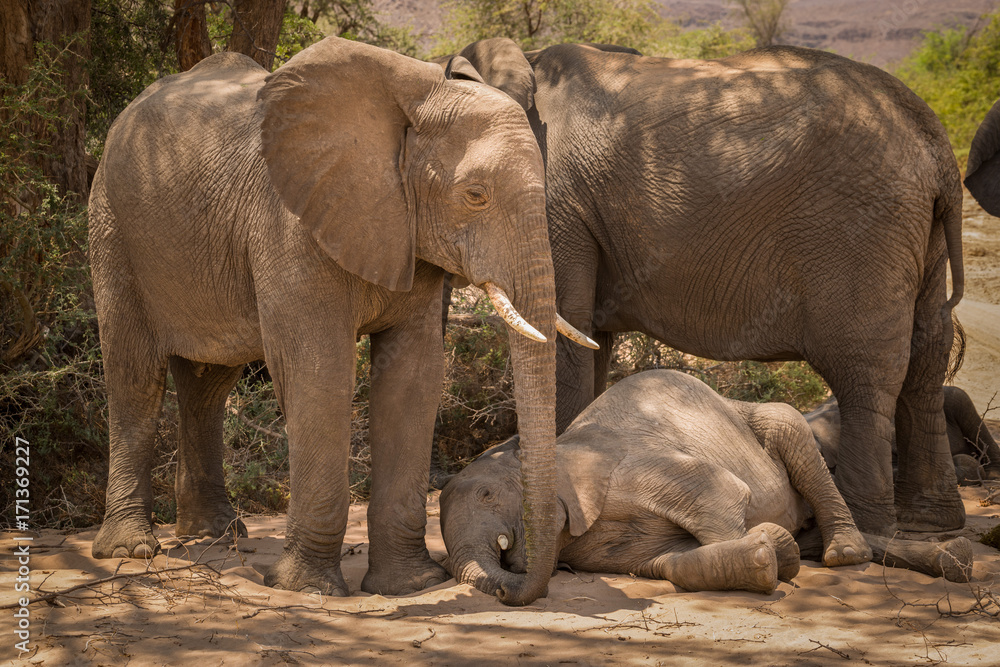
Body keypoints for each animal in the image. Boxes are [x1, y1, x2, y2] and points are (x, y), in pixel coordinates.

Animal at [87, 36, 594, 605]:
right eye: (475, 195)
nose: (513, 578)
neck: (415, 98)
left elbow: (413, 377)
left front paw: (410, 586)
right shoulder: (290, 221)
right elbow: (320, 373)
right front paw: (311, 589)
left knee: (207, 381)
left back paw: (214, 533)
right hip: (112, 225)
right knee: (135, 374)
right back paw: (132, 549)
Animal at [440, 39, 966, 537]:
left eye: (469, 196)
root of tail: (936, 143)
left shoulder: (554, 200)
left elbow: (565, 335)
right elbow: (593, 340)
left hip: (863, 229)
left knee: (866, 371)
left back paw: (869, 528)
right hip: (919, 234)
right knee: (925, 359)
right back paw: (930, 522)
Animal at [440, 370, 975, 597]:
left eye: (488, 494)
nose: (503, 591)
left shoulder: (638, 467)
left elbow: (721, 497)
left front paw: (772, 554)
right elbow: (663, 561)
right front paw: (769, 554)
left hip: (773, 420)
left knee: (790, 430)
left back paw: (845, 553)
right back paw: (955, 561)